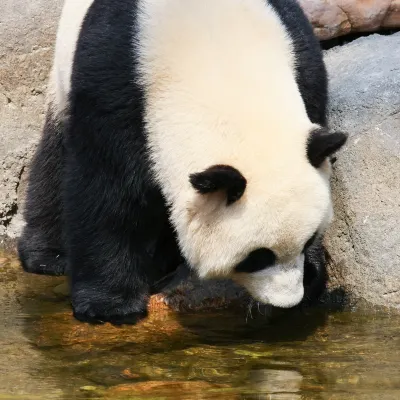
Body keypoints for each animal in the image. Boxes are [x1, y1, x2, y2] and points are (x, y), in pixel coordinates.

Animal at [18, 0, 346, 324]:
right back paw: (49, 256)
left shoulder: (302, 58)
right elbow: (105, 189)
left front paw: (313, 276)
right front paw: (110, 305)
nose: (289, 300)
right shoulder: (118, 81)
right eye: (257, 257)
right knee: (55, 159)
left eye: (308, 240)